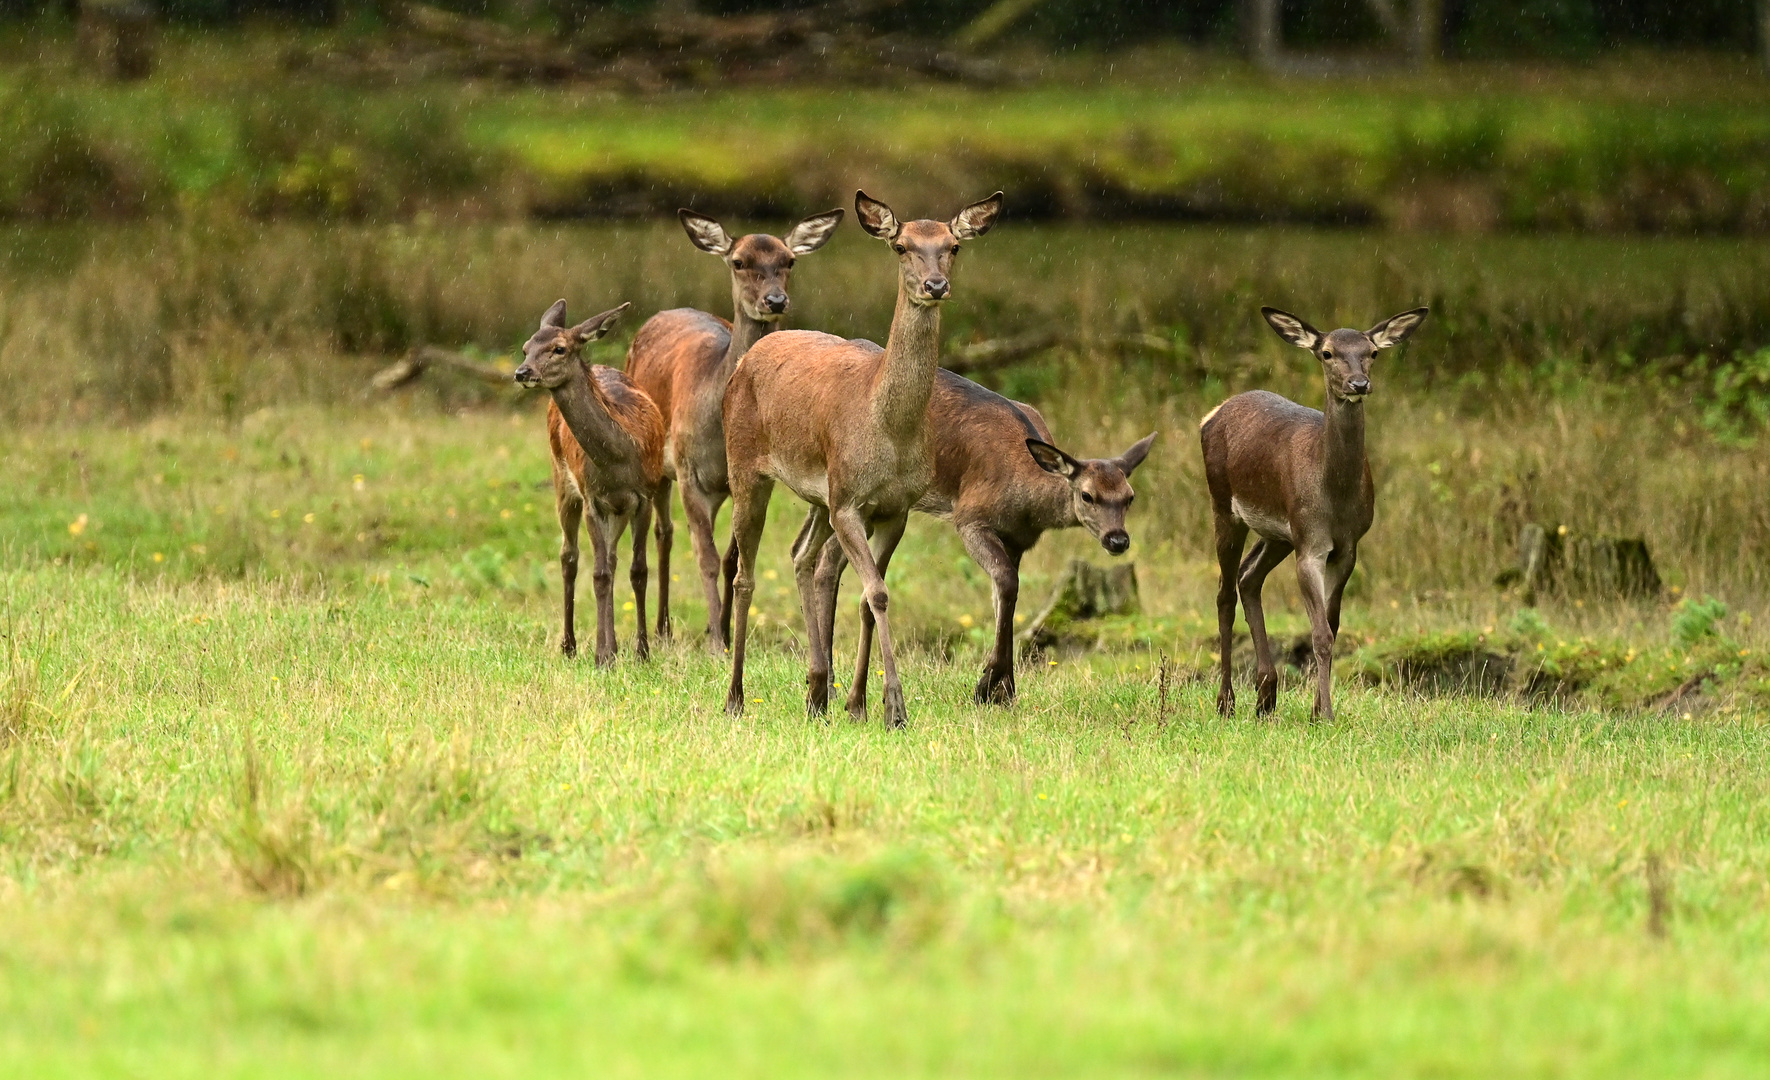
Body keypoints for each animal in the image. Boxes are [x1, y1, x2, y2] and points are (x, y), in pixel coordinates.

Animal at [516, 299, 669, 658]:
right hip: (562, 481)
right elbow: (599, 575)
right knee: (569, 558)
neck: (620, 458)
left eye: (559, 348)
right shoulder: (592, 499)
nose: (522, 372)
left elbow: (638, 571)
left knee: (612, 560)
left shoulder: (643, 496)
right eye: (526, 348)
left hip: (618, 510)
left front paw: (642, 651)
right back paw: (570, 645)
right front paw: (603, 655)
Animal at [623, 207, 842, 651]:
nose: (775, 300)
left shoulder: (745, 477)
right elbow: (705, 558)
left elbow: (730, 558)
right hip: (658, 464)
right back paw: (662, 627)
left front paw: (721, 631)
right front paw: (714, 644)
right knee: (664, 532)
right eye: (739, 262)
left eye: (789, 261)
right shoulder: (689, 471)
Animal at [715, 189, 998, 725]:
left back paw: (816, 691)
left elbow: (871, 596)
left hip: (817, 495)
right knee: (745, 574)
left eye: (953, 246)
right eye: (901, 246)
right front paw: (895, 707)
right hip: (745, 466)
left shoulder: (895, 509)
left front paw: (859, 702)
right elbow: (878, 592)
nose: (935, 285)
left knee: (802, 557)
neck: (889, 428)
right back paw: (735, 697)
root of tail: (745, 359)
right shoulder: (848, 500)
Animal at [807, 373, 1161, 711]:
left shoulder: (1018, 539)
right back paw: (828, 685)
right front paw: (987, 686)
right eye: (1087, 495)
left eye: (1129, 497)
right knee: (826, 561)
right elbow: (1006, 581)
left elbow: (1004, 597)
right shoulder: (970, 517)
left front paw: (1005, 691)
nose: (1118, 539)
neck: (1025, 502)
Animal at [1196, 302, 1430, 718]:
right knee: (1224, 592)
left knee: (1248, 577)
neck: (1334, 498)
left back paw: (1266, 694)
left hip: (1280, 532)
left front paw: (1316, 710)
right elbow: (1320, 633)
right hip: (1225, 505)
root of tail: (1211, 413)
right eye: (1327, 353)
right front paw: (1326, 714)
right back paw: (1226, 701)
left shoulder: (1347, 546)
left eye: (1372, 352)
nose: (1358, 384)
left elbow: (1332, 626)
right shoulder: (1311, 545)